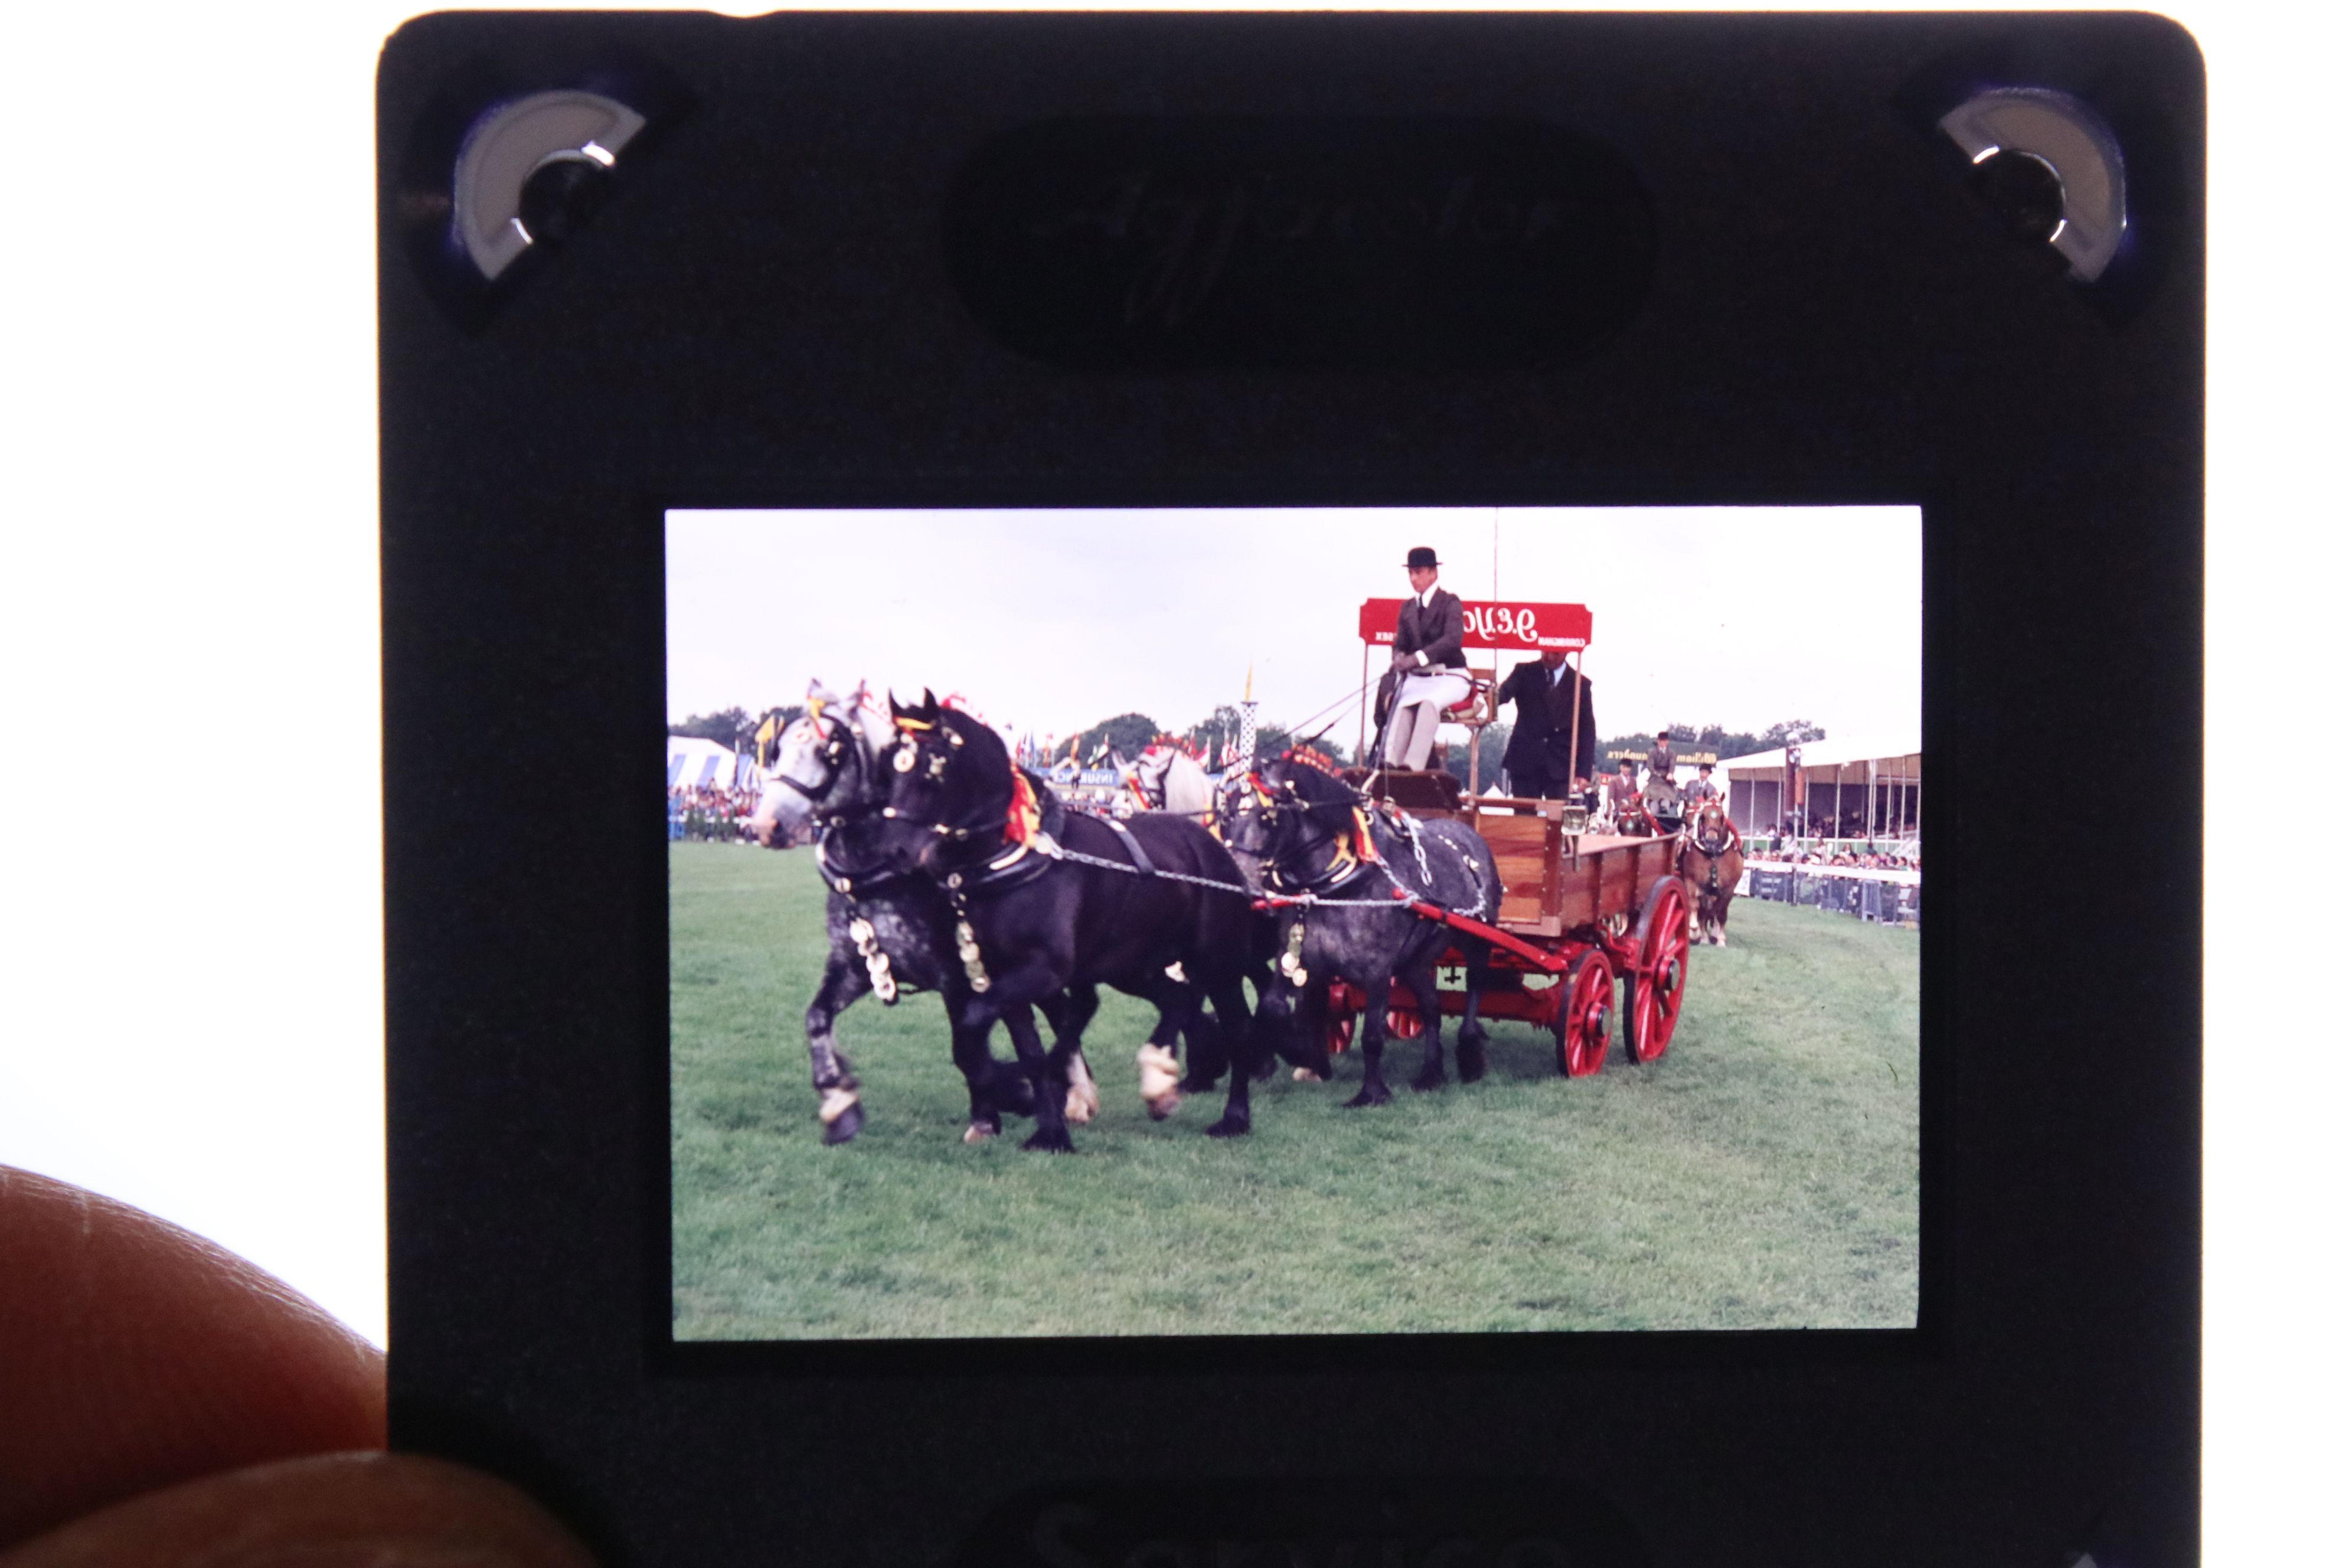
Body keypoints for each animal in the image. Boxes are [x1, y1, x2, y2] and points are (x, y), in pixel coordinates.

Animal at [747, 691, 1086, 1147]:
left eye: (829, 751)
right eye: (778, 750)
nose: (766, 825)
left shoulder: (958, 978)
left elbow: (968, 1048)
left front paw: (997, 1109)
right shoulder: (855, 967)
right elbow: (816, 1019)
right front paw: (839, 1105)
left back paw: (1074, 1097)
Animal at [880, 691, 1279, 1147]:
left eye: (933, 768)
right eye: (888, 763)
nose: (893, 851)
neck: (1016, 858)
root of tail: (1216, 852)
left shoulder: (1043, 971)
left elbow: (979, 1029)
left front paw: (1018, 1093)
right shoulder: (1004, 975)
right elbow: (1024, 1048)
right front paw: (1048, 1129)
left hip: (1219, 964)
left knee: (1236, 1028)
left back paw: (1234, 1116)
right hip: (1135, 966)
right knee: (1177, 1000)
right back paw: (1159, 1084)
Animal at [1223, 752, 1495, 1109]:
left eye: (1269, 816)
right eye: (1227, 814)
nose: (1239, 881)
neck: (1333, 886)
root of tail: (1472, 837)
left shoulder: (1378, 969)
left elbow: (1372, 1036)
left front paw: (1371, 1093)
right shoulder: (1294, 960)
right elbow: (1279, 1009)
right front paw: (1299, 1055)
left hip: (1478, 940)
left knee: (1475, 987)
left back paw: (1470, 1053)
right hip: (1415, 961)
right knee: (1431, 1007)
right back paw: (1431, 1074)